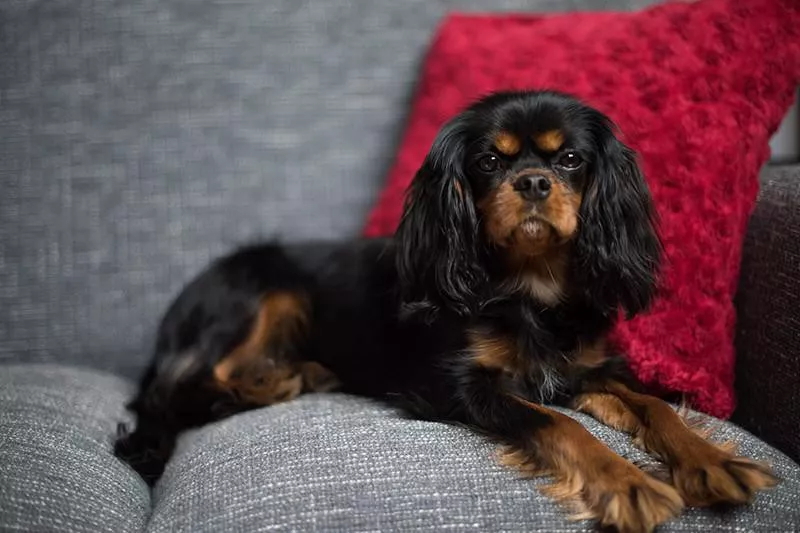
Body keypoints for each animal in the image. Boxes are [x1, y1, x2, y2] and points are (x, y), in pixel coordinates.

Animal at [115, 90, 780, 532]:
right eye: (489, 162)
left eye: (569, 160)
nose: (532, 182)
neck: (532, 288)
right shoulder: (458, 386)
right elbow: (557, 424)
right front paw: (629, 484)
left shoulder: (590, 370)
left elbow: (656, 408)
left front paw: (714, 462)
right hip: (264, 290)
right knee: (179, 389)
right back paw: (273, 382)